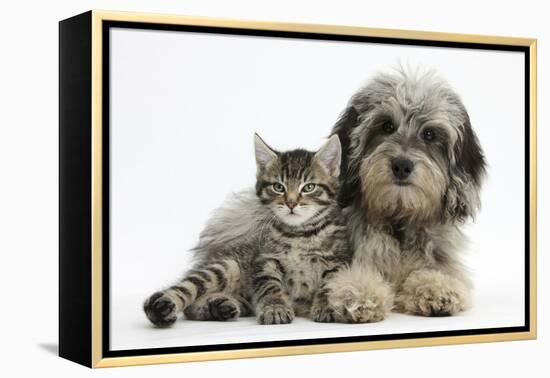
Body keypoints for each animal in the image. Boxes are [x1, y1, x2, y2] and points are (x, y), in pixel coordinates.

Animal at [252, 133, 352, 322]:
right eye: (278, 187)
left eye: (309, 187)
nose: (291, 203)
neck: (299, 233)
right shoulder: (266, 259)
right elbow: (269, 285)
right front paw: (275, 307)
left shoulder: (337, 260)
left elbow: (331, 283)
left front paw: (326, 305)